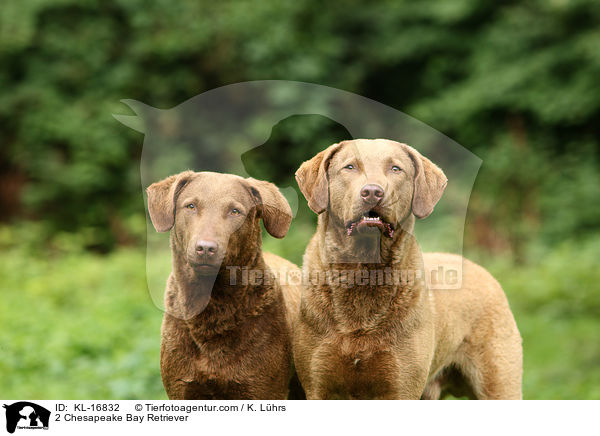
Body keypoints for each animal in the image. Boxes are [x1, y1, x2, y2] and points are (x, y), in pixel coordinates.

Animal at [292, 140, 524, 398]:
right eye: (350, 167)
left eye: (396, 169)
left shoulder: (402, 385)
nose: (372, 192)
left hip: (498, 382)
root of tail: (481, 269)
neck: (364, 270)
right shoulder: (317, 384)